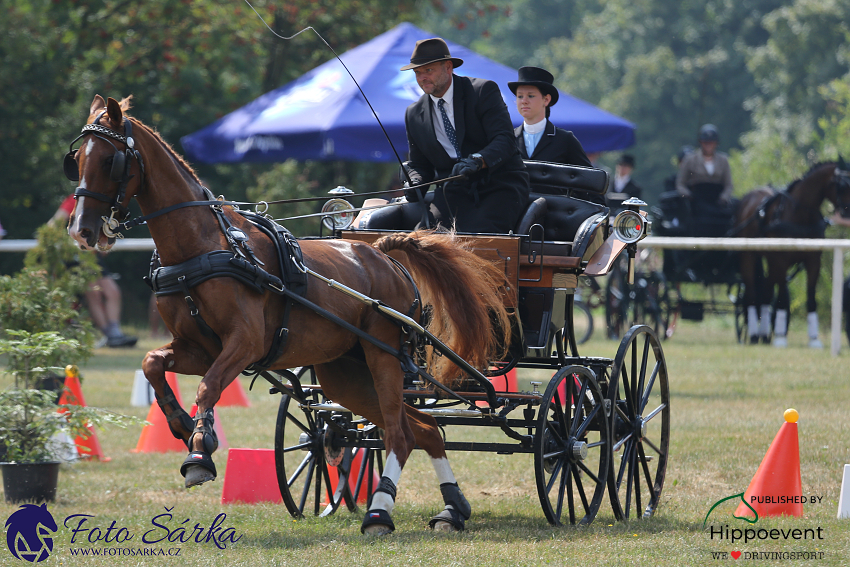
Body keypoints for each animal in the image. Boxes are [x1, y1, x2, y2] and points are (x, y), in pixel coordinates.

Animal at [66, 95, 510, 536]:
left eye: (110, 161)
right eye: (77, 160)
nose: (80, 230)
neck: (204, 247)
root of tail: (385, 254)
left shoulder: (244, 343)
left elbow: (209, 388)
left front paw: (199, 453)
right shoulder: (198, 347)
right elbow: (152, 363)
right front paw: (181, 425)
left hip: (383, 356)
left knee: (399, 435)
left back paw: (380, 512)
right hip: (346, 375)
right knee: (424, 429)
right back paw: (452, 507)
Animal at [728, 159, 848, 346]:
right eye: (842, 185)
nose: (847, 214)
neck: (800, 213)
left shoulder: (814, 261)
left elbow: (810, 298)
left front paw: (814, 339)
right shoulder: (781, 260)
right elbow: (782, 298)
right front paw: (780, 338)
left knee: (766, 294)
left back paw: (764, 335)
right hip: (748, 257)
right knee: (751, 294)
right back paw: (754, 335)